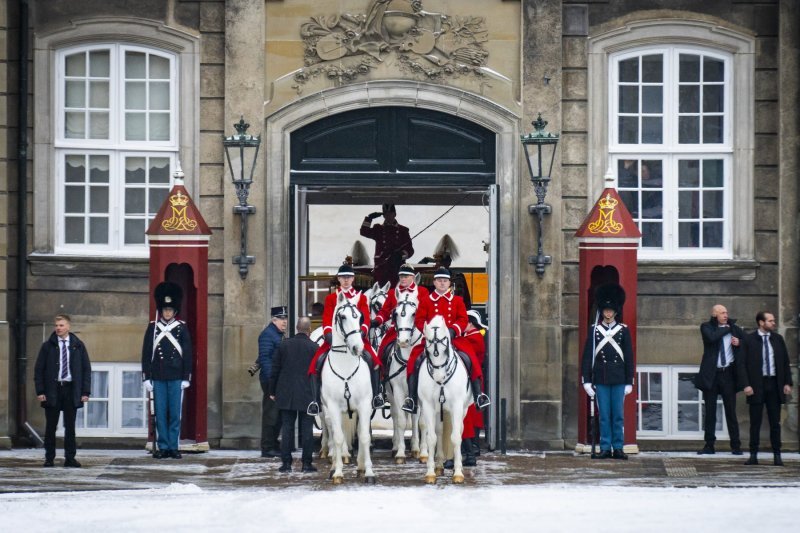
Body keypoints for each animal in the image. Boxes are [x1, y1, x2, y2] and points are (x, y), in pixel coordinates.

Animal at [320, 288, 376, 484]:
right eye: (342, 316)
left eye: (359, 317)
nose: (357, 347)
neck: (345, 365)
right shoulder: (333, 407)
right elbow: (338, 438)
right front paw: (337, 472)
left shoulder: (365, 404)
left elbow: (365, 436)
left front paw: (369, 472)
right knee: (332, 431)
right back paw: (333, 465)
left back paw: (360, 466)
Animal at [416, 314, 472, 484]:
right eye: (428, 342)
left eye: (444, 341)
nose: (439, 376)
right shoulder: (428, 406)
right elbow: (432, 438)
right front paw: (430, 472)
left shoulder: (457, 406)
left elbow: (455, 437)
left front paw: (458, 472)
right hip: (438, 411)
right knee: (439, 432)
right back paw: (439, 465)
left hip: (462, 409)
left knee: (459, 430)